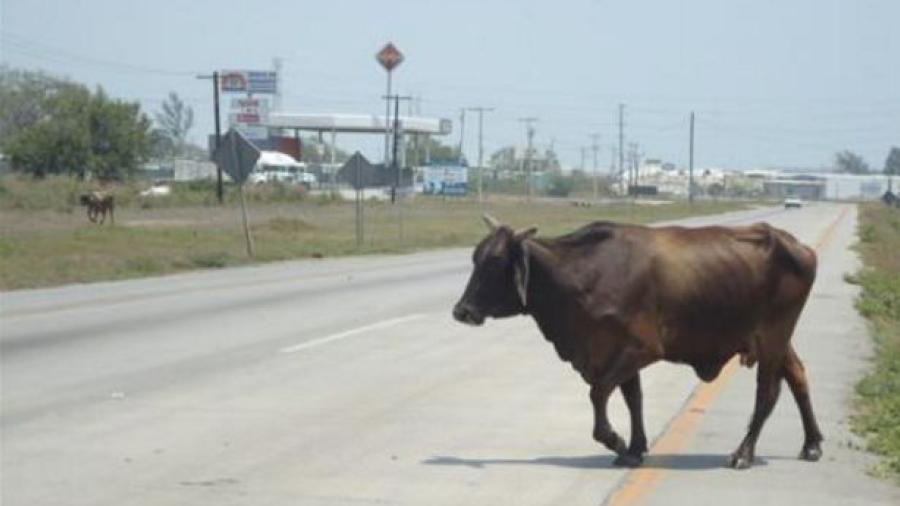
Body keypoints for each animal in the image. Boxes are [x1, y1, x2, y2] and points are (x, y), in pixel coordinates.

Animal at [450, 215, 824, 468]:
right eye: (475, 257)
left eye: (495, 262)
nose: (461, 310)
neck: (582, 273)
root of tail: (799, 247)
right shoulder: (616, 351)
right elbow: (633, 399)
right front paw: (633, 448)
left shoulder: (640, 348)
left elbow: (599, 392)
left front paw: (614, 440)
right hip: (776, 341)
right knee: (798, 377)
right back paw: (812, 444)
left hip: (773, 337)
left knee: (768, 393)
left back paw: (744, 453)